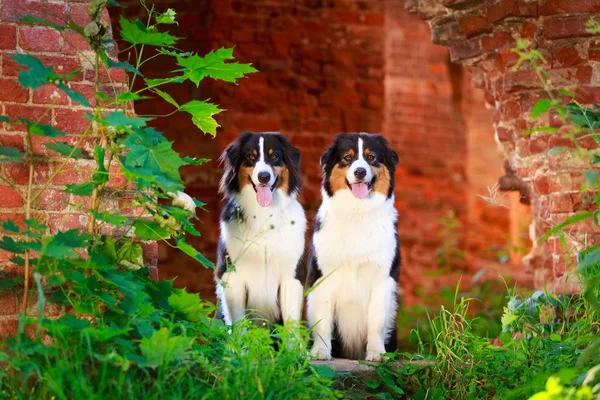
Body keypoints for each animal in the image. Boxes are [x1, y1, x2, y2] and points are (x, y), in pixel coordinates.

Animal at [216, 131, 308, 328]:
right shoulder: (231, 276)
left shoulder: (291, 276)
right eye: (251, 157)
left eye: (274, 156)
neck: (265, 214)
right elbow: (239, 325)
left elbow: (290, 326)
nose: (264, 177)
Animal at [304, 133, 398, 360]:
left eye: (371, 157)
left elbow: (377, 321)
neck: (358, 211)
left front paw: (377, 353)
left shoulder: (382, 278)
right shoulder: (323, 275)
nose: (359, 172)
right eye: (347, 158)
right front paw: (320, 352)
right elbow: (323, 321)